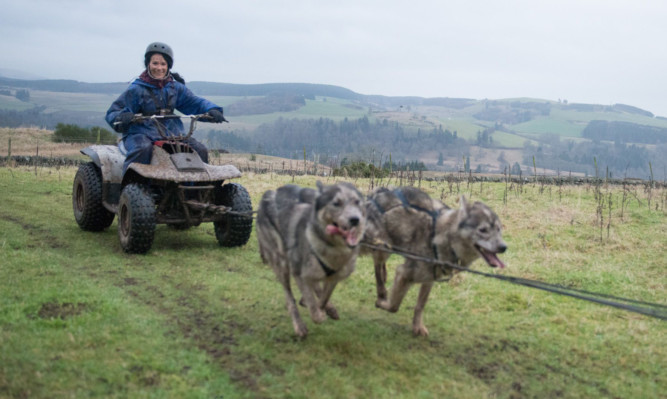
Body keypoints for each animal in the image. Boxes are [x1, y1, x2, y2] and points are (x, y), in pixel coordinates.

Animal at [258, 182, 368, 338]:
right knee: (289, 298)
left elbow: (323, 297)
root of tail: (269, 193)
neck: (333, 249)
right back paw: (299, 325)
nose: (355, 219)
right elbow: (312, 303)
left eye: (357, 202)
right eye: (336, 203)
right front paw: (318, 314)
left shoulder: (334, 278)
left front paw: (324, 307)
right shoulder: (298, 272)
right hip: (281, 264)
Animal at [366, 188, 506, 338]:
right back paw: (382, 291)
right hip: (383, 249)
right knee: (377, 268)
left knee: (380, 267)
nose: (504, 247)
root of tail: (377, 192)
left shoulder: (429, 279)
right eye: (483, 230)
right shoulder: (404, 274)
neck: (446, 241)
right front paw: (381, 303)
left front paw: (417, 326)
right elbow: (394, 306)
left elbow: (420, 306)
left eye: (498, 229)